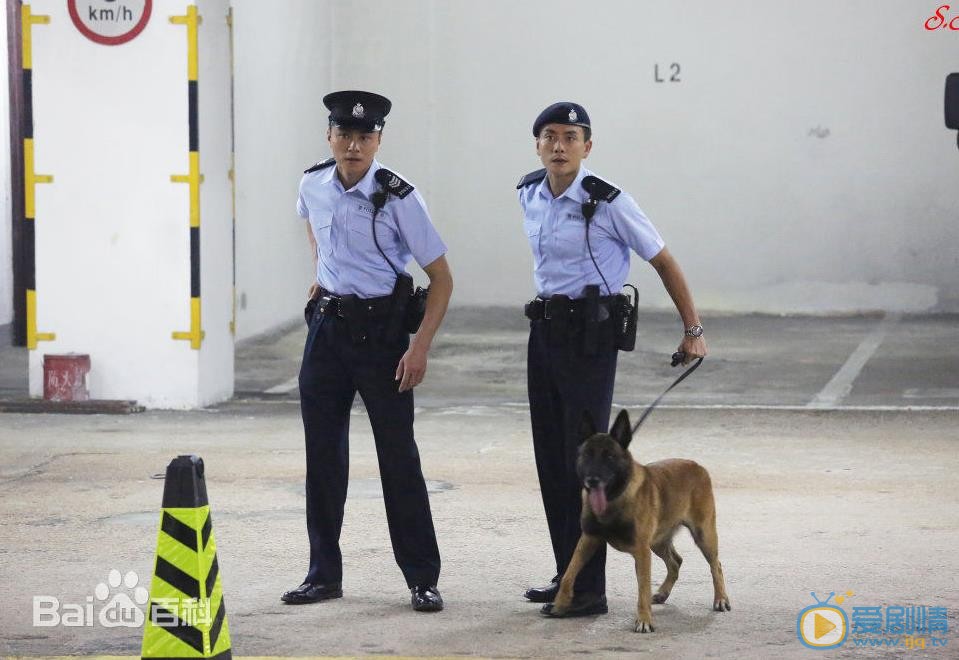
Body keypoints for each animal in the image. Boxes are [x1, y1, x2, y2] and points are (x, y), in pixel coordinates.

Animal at [552, 410, 732, 632]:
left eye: (610, 457)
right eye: (587, 455)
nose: (592, 480)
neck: (615, 498)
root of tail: (697, 466)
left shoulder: (641, 552)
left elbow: (643, 589)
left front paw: (644, 619)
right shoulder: (588, 539)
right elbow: (569, 572)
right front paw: (561, 602)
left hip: (703, 535)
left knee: (716, 565)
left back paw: (721, 599)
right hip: (657, 542)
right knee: (676, 562)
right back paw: (663, 593)